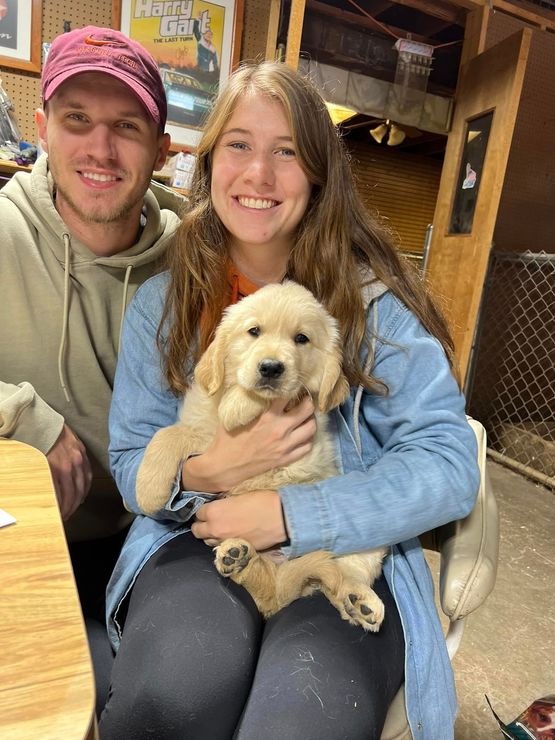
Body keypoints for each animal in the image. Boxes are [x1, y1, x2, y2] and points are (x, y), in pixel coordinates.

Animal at [136, 282, 386, 632]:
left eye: (301, 338)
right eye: (254, 331)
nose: (270, 368)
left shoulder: (303, 404)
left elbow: (275, 395)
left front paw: (236, 406)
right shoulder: (199, 431)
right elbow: (166, 435)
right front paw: (148, 492)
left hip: (369, 538)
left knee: (344, 572)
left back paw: (359, 601)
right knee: (270, 583)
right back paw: (238, 557)